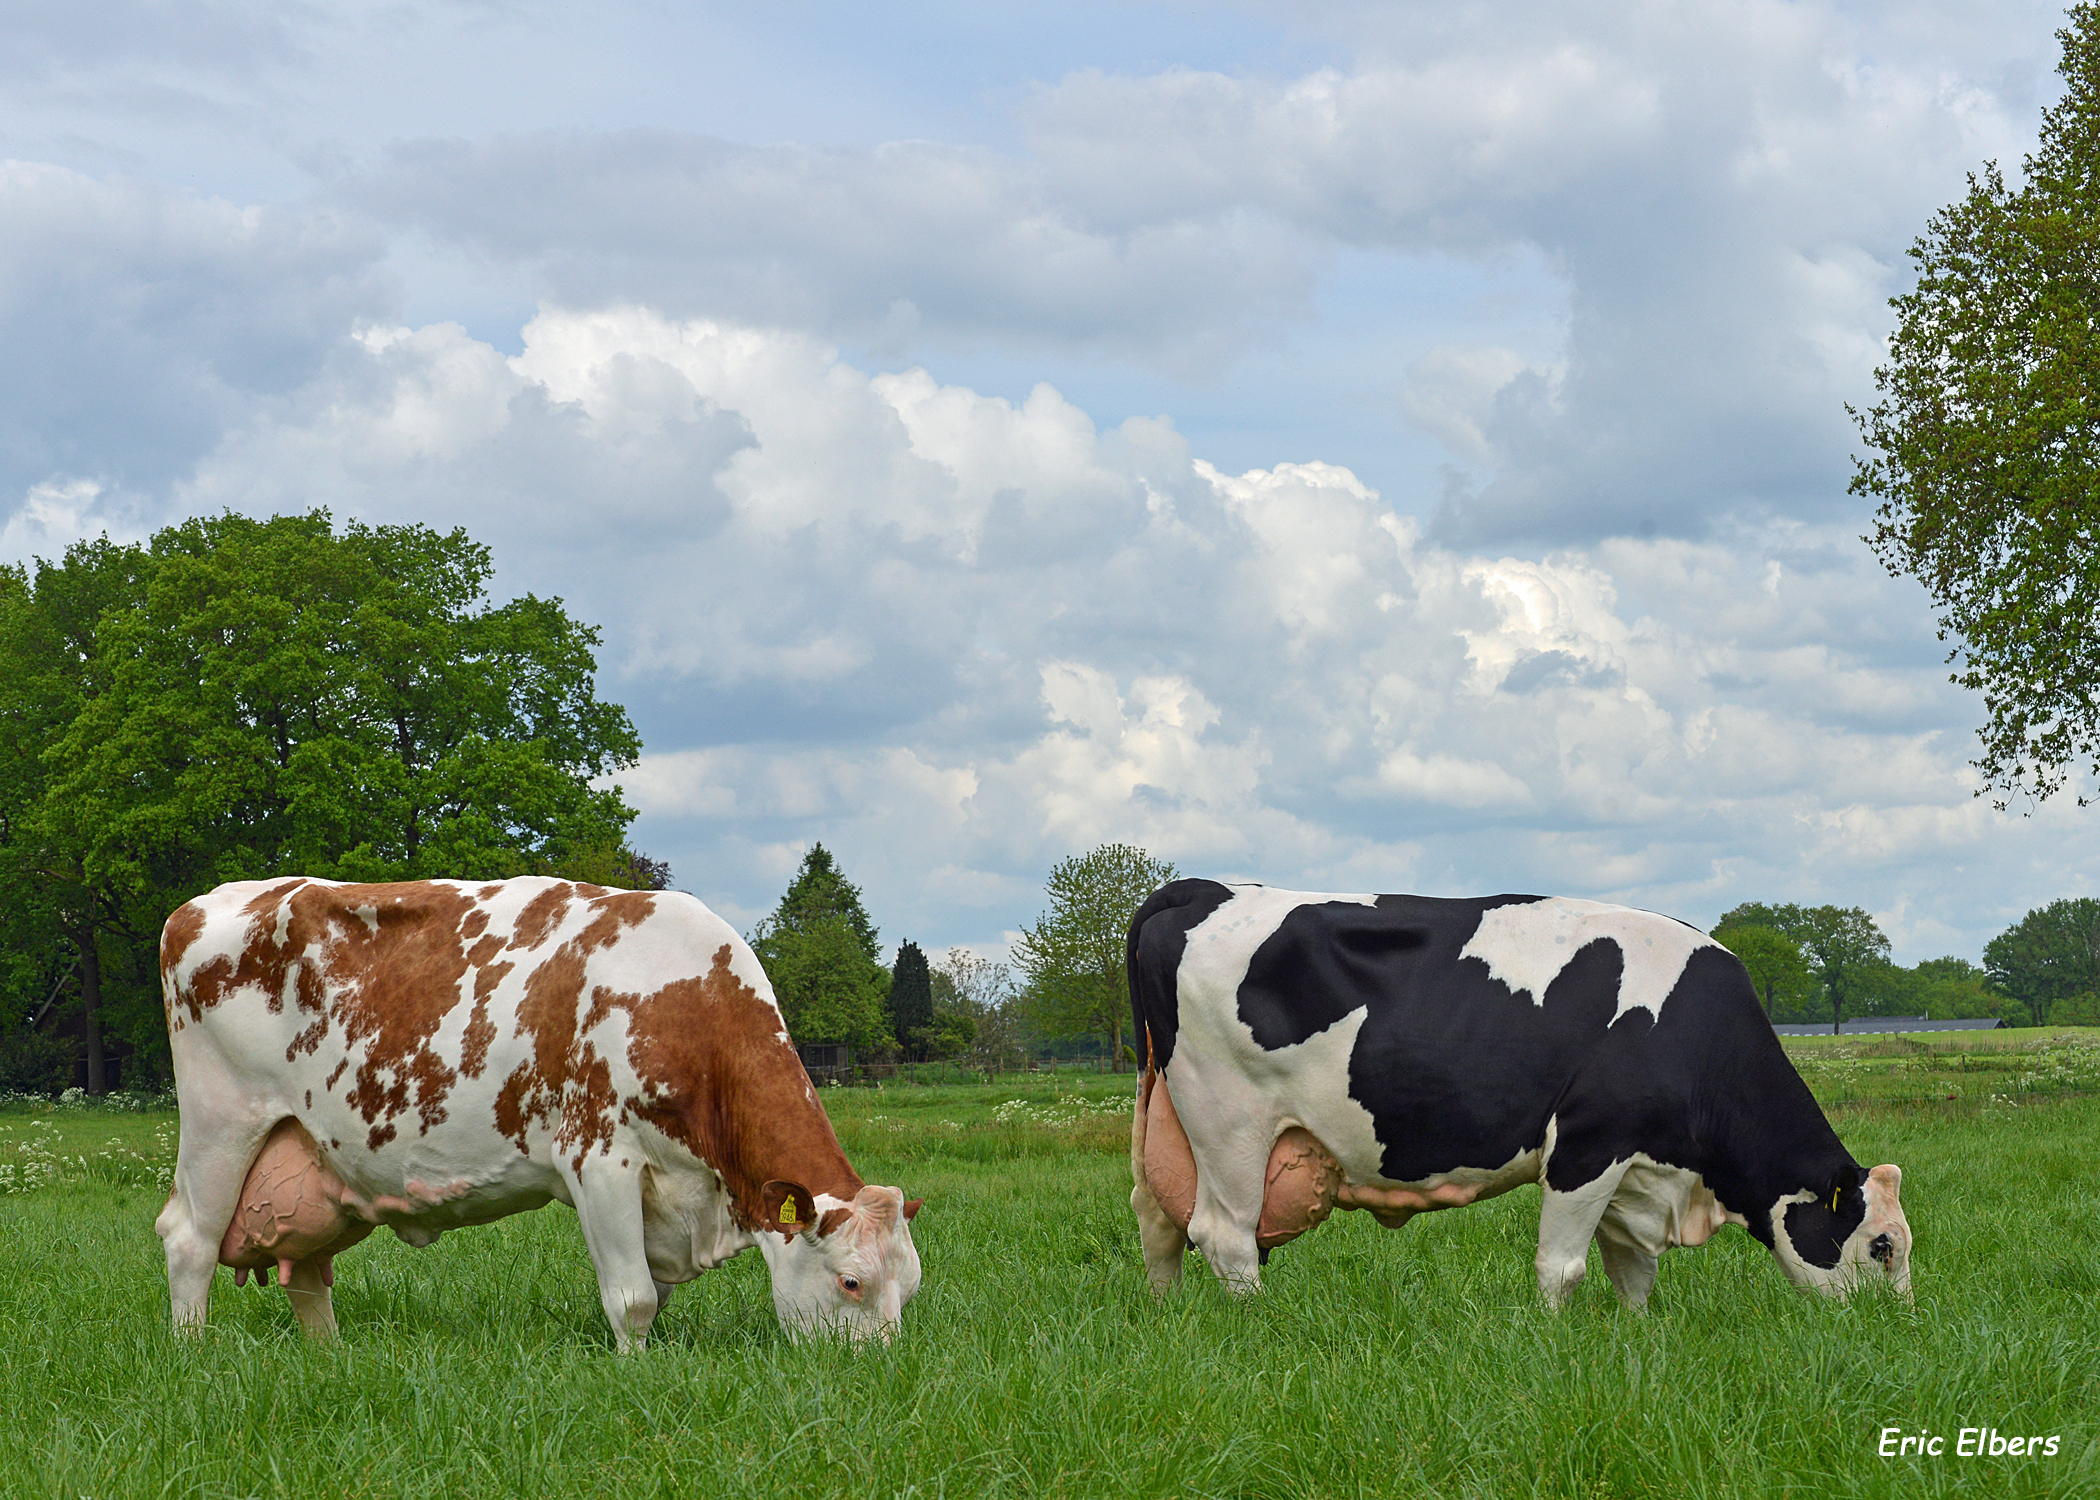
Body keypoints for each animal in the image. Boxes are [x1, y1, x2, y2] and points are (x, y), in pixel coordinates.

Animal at [159, 878, 915, 1344]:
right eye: (851, 1281)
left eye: (909, 1287)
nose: (876, 1377)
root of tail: (198, 905)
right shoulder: (598, 1160)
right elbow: (633, 1298)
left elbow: (653, 1292)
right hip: (220, 1124)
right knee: (188, 1239)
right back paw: (196, 1355)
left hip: (312, 1157)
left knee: (307, 1272)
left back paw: (331, 1359)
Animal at [1134, 882, 1923, 1302]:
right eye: (1882, 1245)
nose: (1897, 1328)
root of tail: (1206, 888)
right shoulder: (1588, 1145)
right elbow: (1562, 1267)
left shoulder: (1635, 1172)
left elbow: (1634, 1271)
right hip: (1230, 1121)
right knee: (1226, 1237)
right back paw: (1256, 1325)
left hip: (1163, 1113)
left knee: (1158, 1221)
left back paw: (1176, 1321)